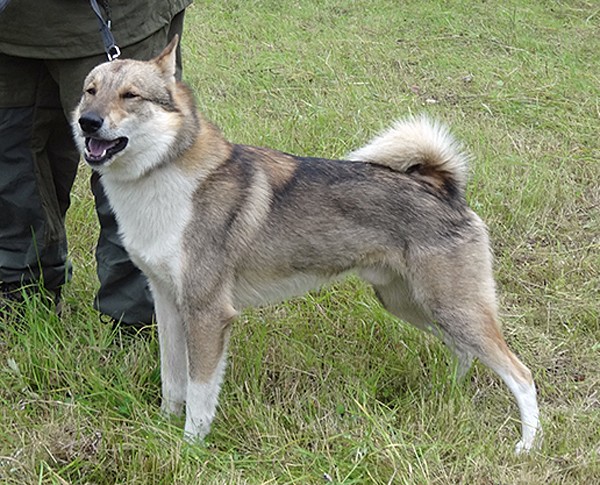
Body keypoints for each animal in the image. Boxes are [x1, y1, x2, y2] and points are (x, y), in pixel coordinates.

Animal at [71, 35, 541, 453]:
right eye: (90, 91)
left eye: (131, 95)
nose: (86, 122)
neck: (163, 178)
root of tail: (445, 189)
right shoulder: (169, 305)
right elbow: (174, 381)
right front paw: (164, 427)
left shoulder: (208, 314)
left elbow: (200, 395)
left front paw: (189, 449)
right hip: (411, 303)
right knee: (462, 351)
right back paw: (447, 393)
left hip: (453, 307)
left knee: (521, 375)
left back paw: (526, 445)